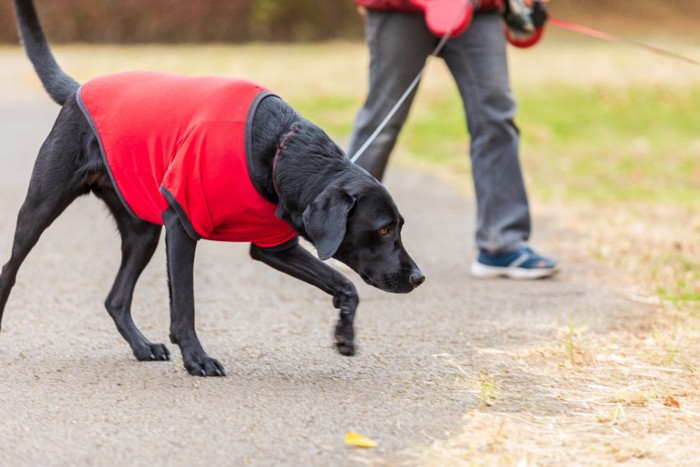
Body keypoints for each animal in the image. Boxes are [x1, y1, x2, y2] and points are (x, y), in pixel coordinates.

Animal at [0, 0, 422, 376]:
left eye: (399, 227)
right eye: (384, 229)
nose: (419, 277)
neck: (280, 148)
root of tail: (79, 88)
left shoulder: (274, 246)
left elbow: (345, 284)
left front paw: (345, 334)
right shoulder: (182, 225)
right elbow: (185, 304)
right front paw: (196, 359)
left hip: (143, 231)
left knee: (115, 299)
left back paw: (142, 346)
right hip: (41, 207)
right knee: (11, 268)